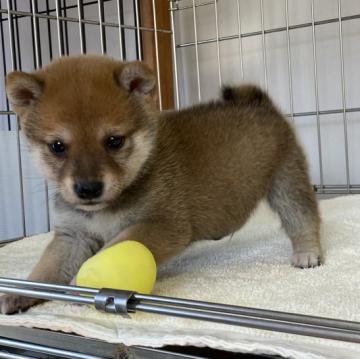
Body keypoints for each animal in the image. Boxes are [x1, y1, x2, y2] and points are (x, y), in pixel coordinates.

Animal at [0, 54, 320, 314]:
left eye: (114, 141)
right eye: (57, 146)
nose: (88, 188)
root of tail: (258, 104)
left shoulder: (160, 224)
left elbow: (111, 249)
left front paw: (83, 281)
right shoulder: (73, 235)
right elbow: (46, 270)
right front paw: (21, 292)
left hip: (286, 179)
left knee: (303, 217)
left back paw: (308, 253)